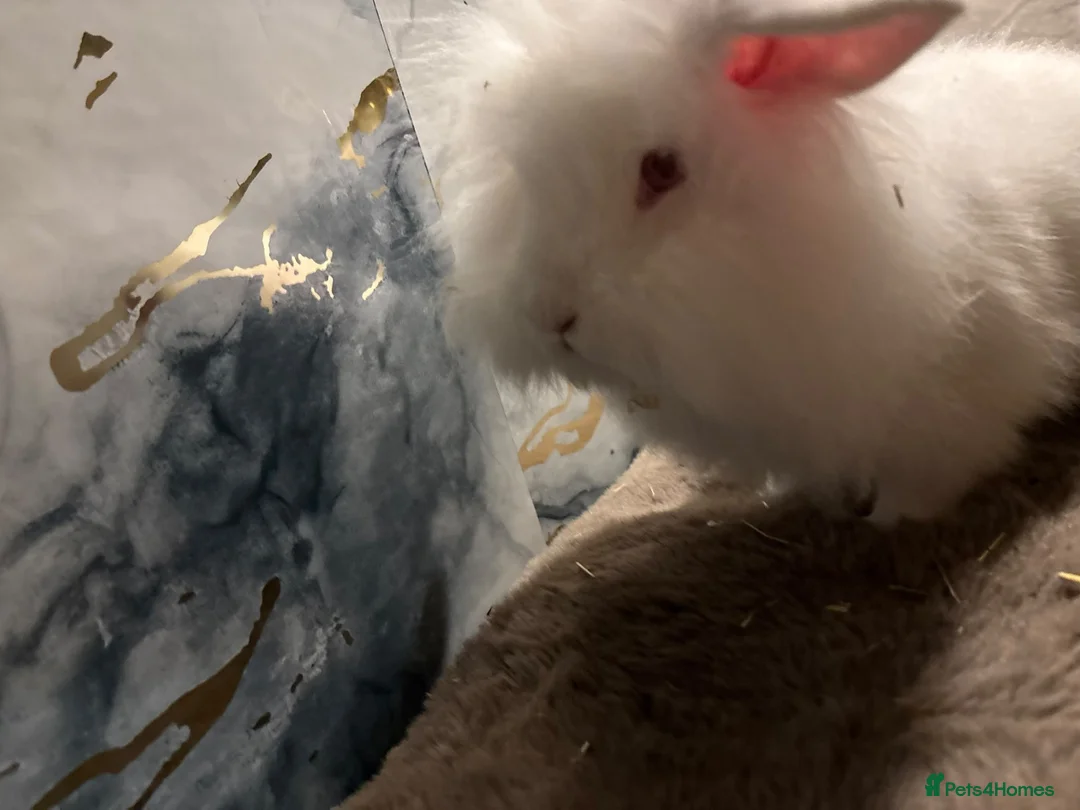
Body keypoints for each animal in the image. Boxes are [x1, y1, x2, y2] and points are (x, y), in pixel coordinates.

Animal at [426, 0, 1080, 526]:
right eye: (524, 171)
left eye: (661, 169)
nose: (550, 316)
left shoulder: (957, 397)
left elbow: (933, 471)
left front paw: (892, 518)